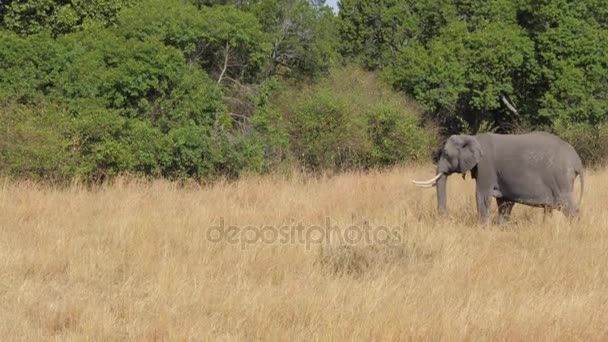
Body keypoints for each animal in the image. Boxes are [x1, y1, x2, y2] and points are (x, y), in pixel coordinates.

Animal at [414, 132, 584, 224]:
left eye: (446, 154)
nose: (443, 216)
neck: (472, 137)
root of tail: (577, 161)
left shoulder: (486, 166)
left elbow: (481, 196)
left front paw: (483, 228)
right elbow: (504, 202)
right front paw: (502, 227)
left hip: (561, 179)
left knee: (569, 207)